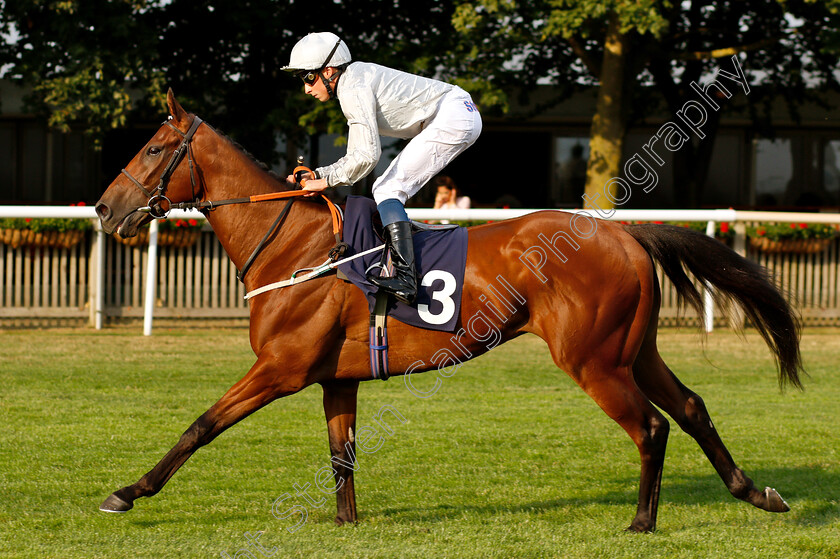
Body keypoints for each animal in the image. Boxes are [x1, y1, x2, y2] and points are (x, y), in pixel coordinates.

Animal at [95, 92, 804, 532]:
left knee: (651, 428)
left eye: (154, 149)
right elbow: (341, 453)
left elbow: (201, 425)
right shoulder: (335, 378)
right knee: (690, 408)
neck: (294, 246)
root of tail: (625, 234)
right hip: (635, 350)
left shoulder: (281, 368)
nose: (104, 208)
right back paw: (757, 493)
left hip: (594, 361)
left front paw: (126, 492)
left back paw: (641, 521)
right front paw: (346, 521)